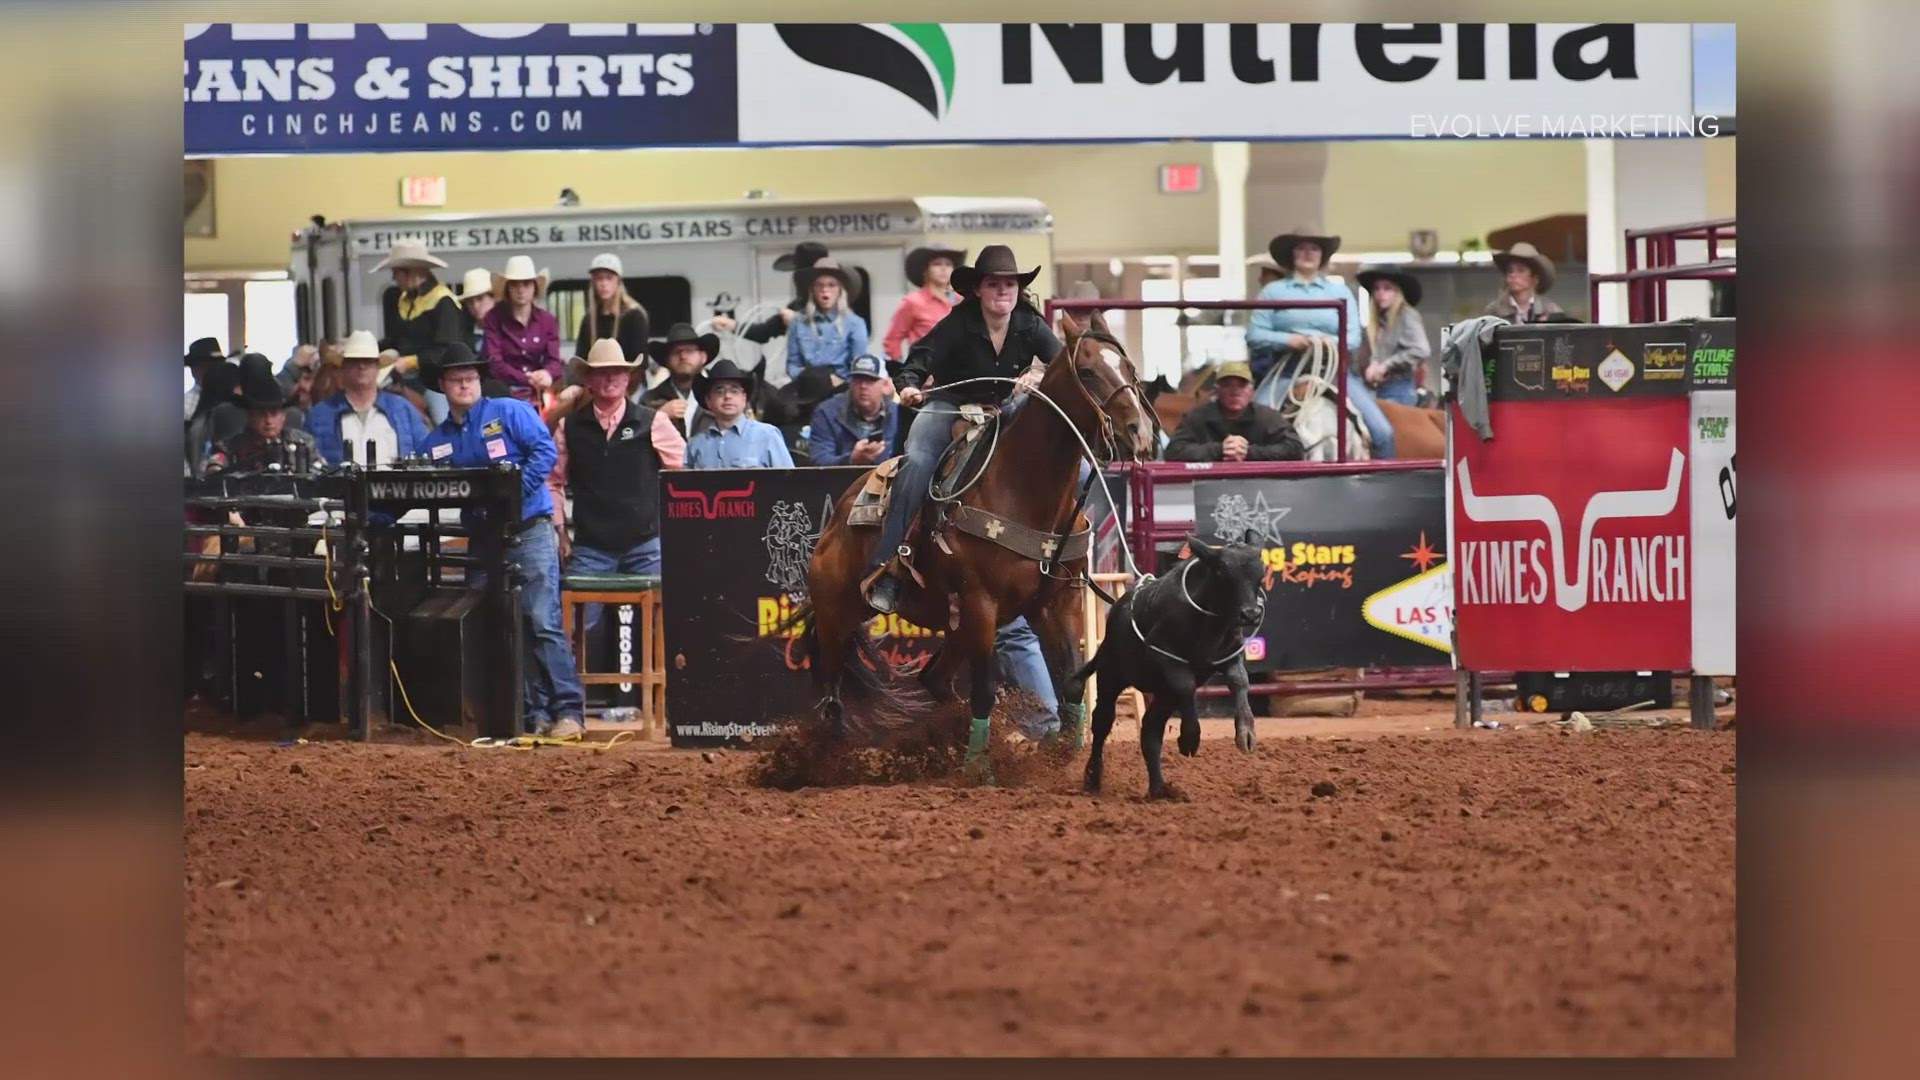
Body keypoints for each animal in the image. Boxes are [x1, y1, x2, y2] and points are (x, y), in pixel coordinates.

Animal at [794, 303, 1152, 757]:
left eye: (1128, 367)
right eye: (1087, 372)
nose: (1140, 433)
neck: (1024, 488)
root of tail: (838, 518)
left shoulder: (1060, 601)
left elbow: (1071, 682)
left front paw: (1063, 755)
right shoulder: (982, 603)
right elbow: (984, 690)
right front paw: (978, 765)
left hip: (952, 625)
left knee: (931, 679)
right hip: (838, 614)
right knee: (831, 693)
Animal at [1067, 534, 1274, 795]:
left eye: (1260, 572)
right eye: (1221, 571)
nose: (1251, 614)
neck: (1208, 624)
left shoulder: (1230, 655)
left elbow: (1240, 682)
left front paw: (1246, 732)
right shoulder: (1164, 654)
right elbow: (1186, 685)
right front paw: (1190, 738)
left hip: (1164, 694)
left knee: (1150, 731)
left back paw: (1158, 789)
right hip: (1110, 676)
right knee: (1103, 721)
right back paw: (1093, 777)